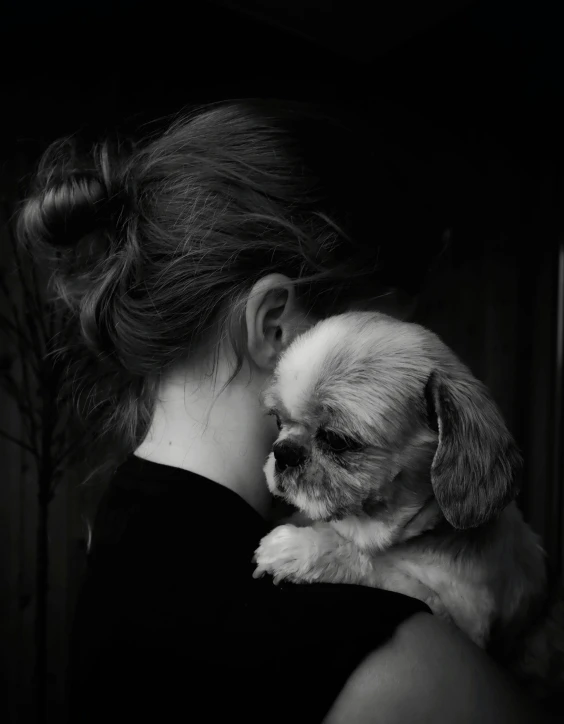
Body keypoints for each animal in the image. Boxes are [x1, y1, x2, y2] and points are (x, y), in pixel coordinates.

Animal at [254, 312, 564, 708]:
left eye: (337, 441)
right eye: (278, 422)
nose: (283, 452)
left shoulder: (457, 618)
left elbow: (377, 567)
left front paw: (304, 549)